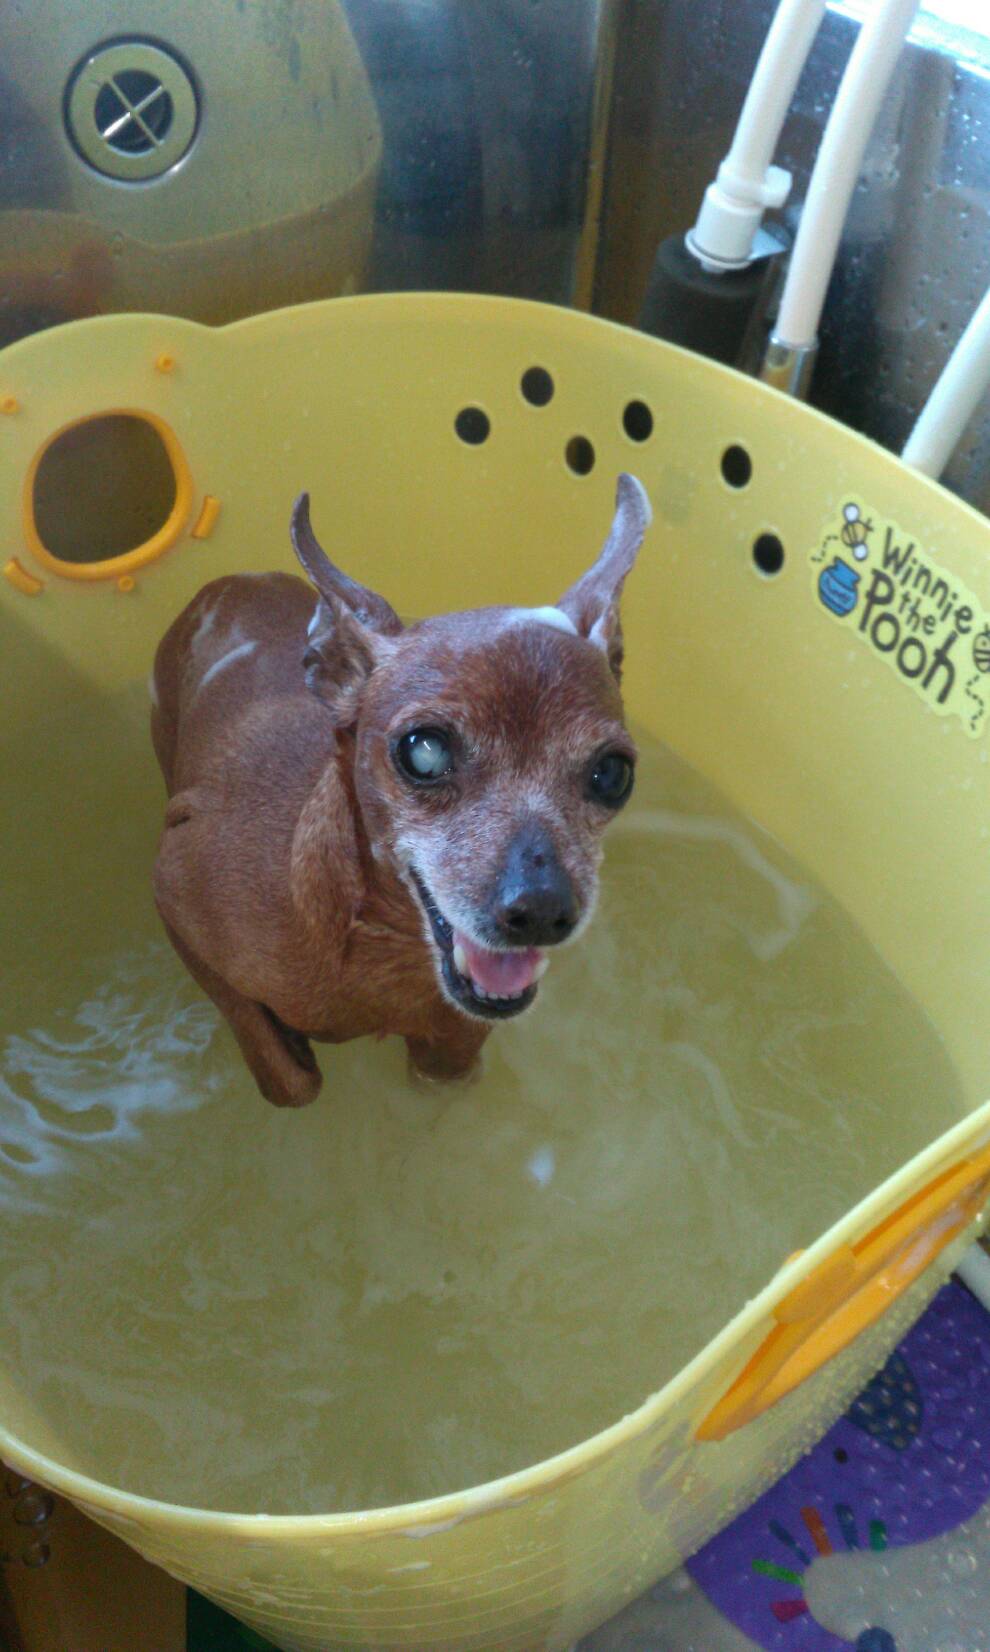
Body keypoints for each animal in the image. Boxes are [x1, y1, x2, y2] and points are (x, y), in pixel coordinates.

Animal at [150, 473, 651, 1107]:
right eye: (425, 751)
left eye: (612, 773)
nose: (542, 909)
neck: (381, 951)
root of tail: (234, 579)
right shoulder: (172, 886)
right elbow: (292, 1080)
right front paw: (293, 1053)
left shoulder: (453, 1049)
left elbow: (442, 1073)